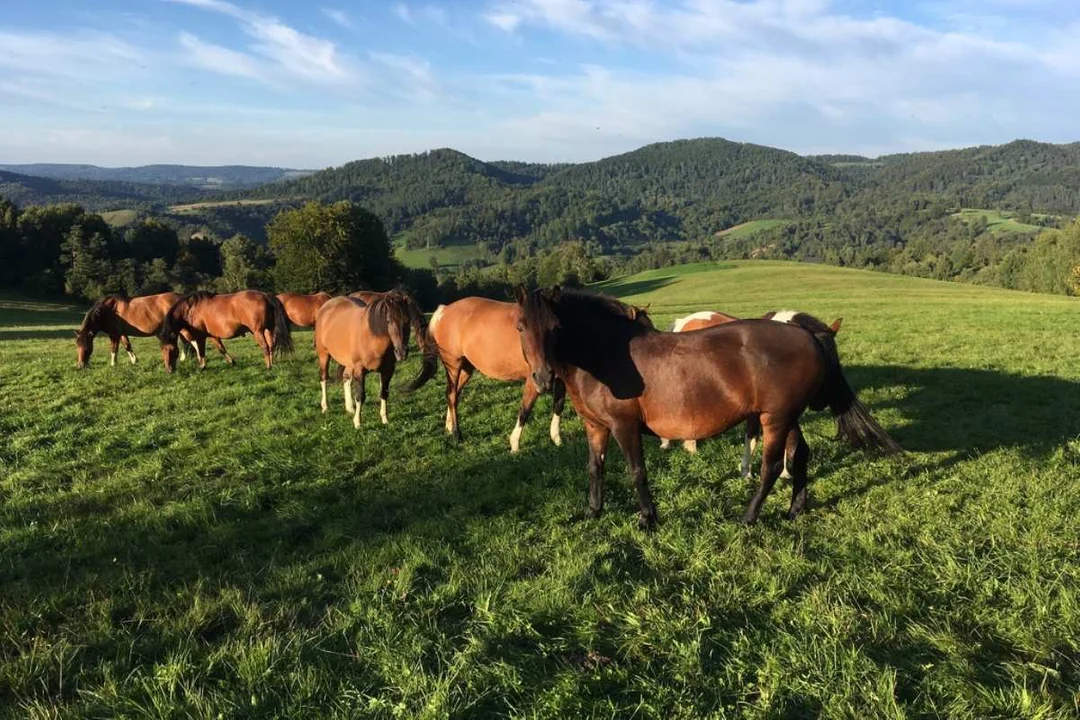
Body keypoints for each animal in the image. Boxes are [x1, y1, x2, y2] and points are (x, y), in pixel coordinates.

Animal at [157, 291, 293, 375]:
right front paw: (232, 362)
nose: (168, 370)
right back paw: (272, 362)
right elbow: (221, 349)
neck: (190, 309)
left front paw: (202, 366)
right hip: (269, 329)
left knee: (265, 347)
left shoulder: (201, 336)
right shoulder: (213, 336)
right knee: (271, 346)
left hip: (258, 331)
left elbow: (201, 351)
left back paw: (268, 366)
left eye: (171, 350)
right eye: (162, 350)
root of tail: (265, 295)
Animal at [313, 291, 434, 431]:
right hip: (323, 355)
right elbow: (360, 396)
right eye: (388, 320)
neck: (372, 337)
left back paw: (350, 408)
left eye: (408, 320)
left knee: (346, 378)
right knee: (323, 378)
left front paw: (385, 419)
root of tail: (326, 306)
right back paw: (325, 406)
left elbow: (384, 393)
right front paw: (358, 422)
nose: (402, 352)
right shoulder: (359, 370)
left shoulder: (387, 371)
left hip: (348, 363)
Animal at [425, 295, 652, 453]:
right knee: (452, 395)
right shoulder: (533, 380)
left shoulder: (557, 378)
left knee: (453, 394)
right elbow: (525, 409)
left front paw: (557, 438)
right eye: (642, 330)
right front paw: (514, 444)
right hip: (453, 365)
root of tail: (445, 310)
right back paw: (457, 434)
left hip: (466, 368)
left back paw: (448, 426)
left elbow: (558, 406)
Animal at [656, 310, 842, 479]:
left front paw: (782, 473)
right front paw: (748, 472)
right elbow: (753, 438)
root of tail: (684, 321)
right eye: (824, 358)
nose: (821, 404)